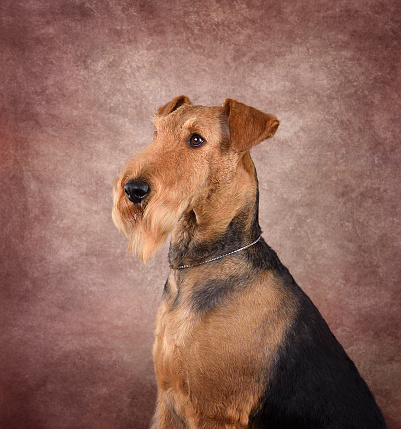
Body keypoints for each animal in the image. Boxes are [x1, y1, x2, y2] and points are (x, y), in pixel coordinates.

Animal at [111, 95, 384, 426]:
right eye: (156, 134)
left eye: (196, 140)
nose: (133, 190)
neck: (201, 263)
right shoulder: (167, 399)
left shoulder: (215, 412)